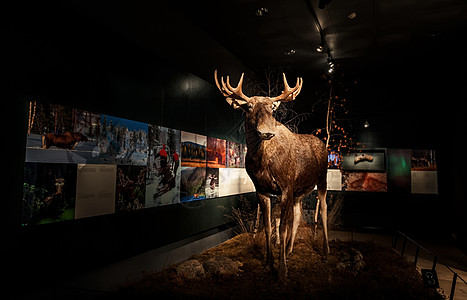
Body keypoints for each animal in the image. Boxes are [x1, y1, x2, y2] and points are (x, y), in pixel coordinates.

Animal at [216, 69, 330, 280]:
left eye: (272, 109)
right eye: (249, 106)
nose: (267, 132)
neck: (262, 162)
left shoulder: (286, 186)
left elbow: (282, 227)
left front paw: (282, 270)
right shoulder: (261, 188)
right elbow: (268, 226)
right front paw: (269, 263)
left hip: (322, 178)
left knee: (323, 209)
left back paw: (326, 252)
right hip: (299, 191)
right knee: (298, 214)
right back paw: (290, 250)